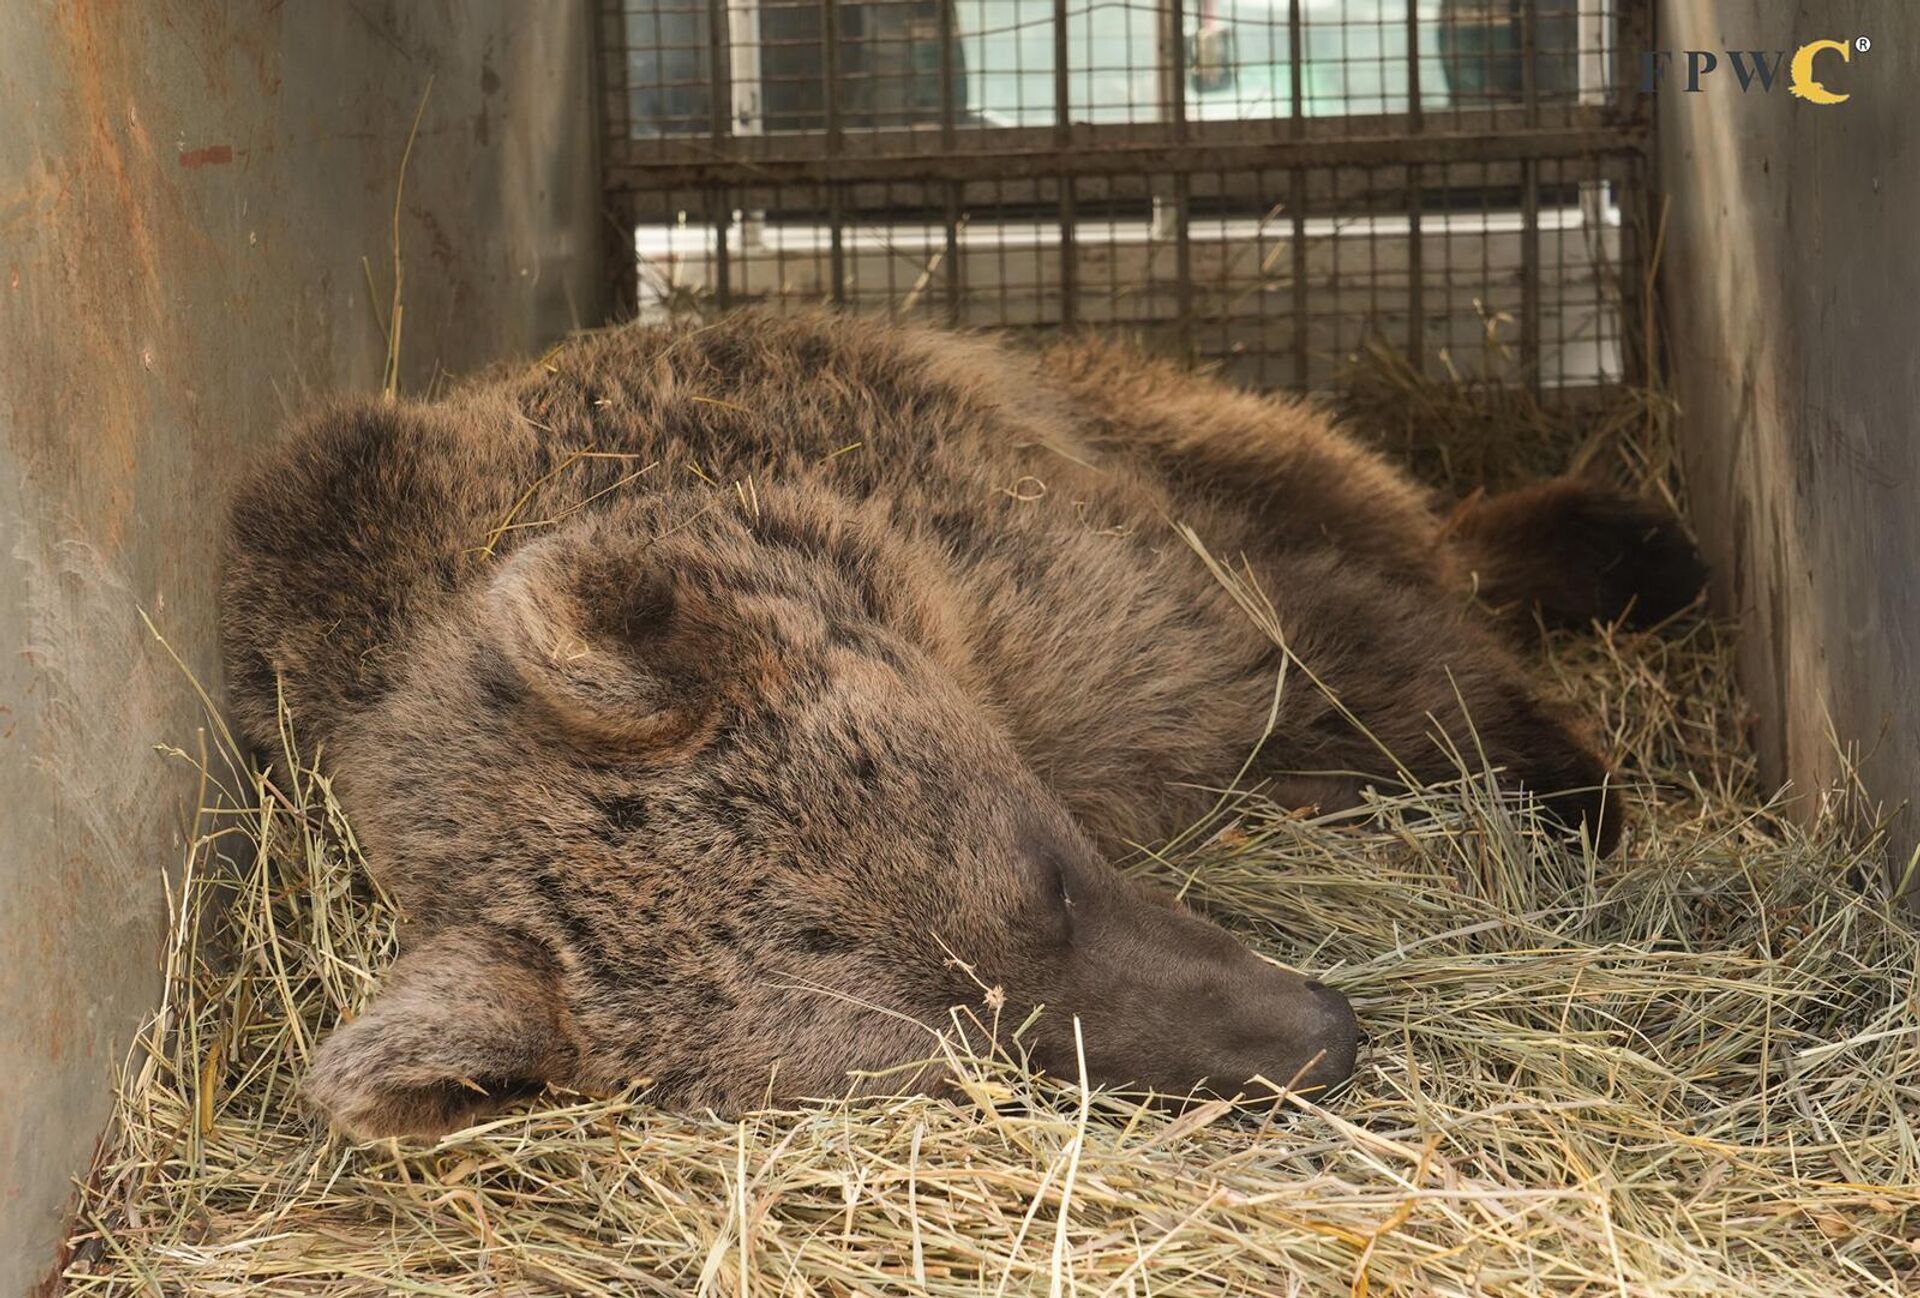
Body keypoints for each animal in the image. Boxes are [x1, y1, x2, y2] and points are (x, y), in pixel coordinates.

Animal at [217, 309, 1704, 1144]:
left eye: (1046, 881)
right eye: (980, 1049)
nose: (1314, 1042)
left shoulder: (1077, 596)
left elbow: (1333, 659)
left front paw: (1570, 788)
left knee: (1361, 494)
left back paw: (1627, 545)